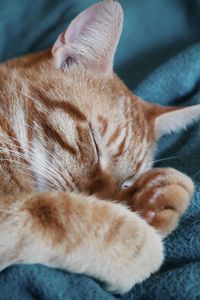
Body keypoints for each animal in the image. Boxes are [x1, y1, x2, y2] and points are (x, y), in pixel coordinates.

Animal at [0, 0, 199, 294]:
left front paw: (157, 198)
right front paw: (139, 248)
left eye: (127, 181)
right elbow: (62, 212)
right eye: (95, 143)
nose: (102, 198)